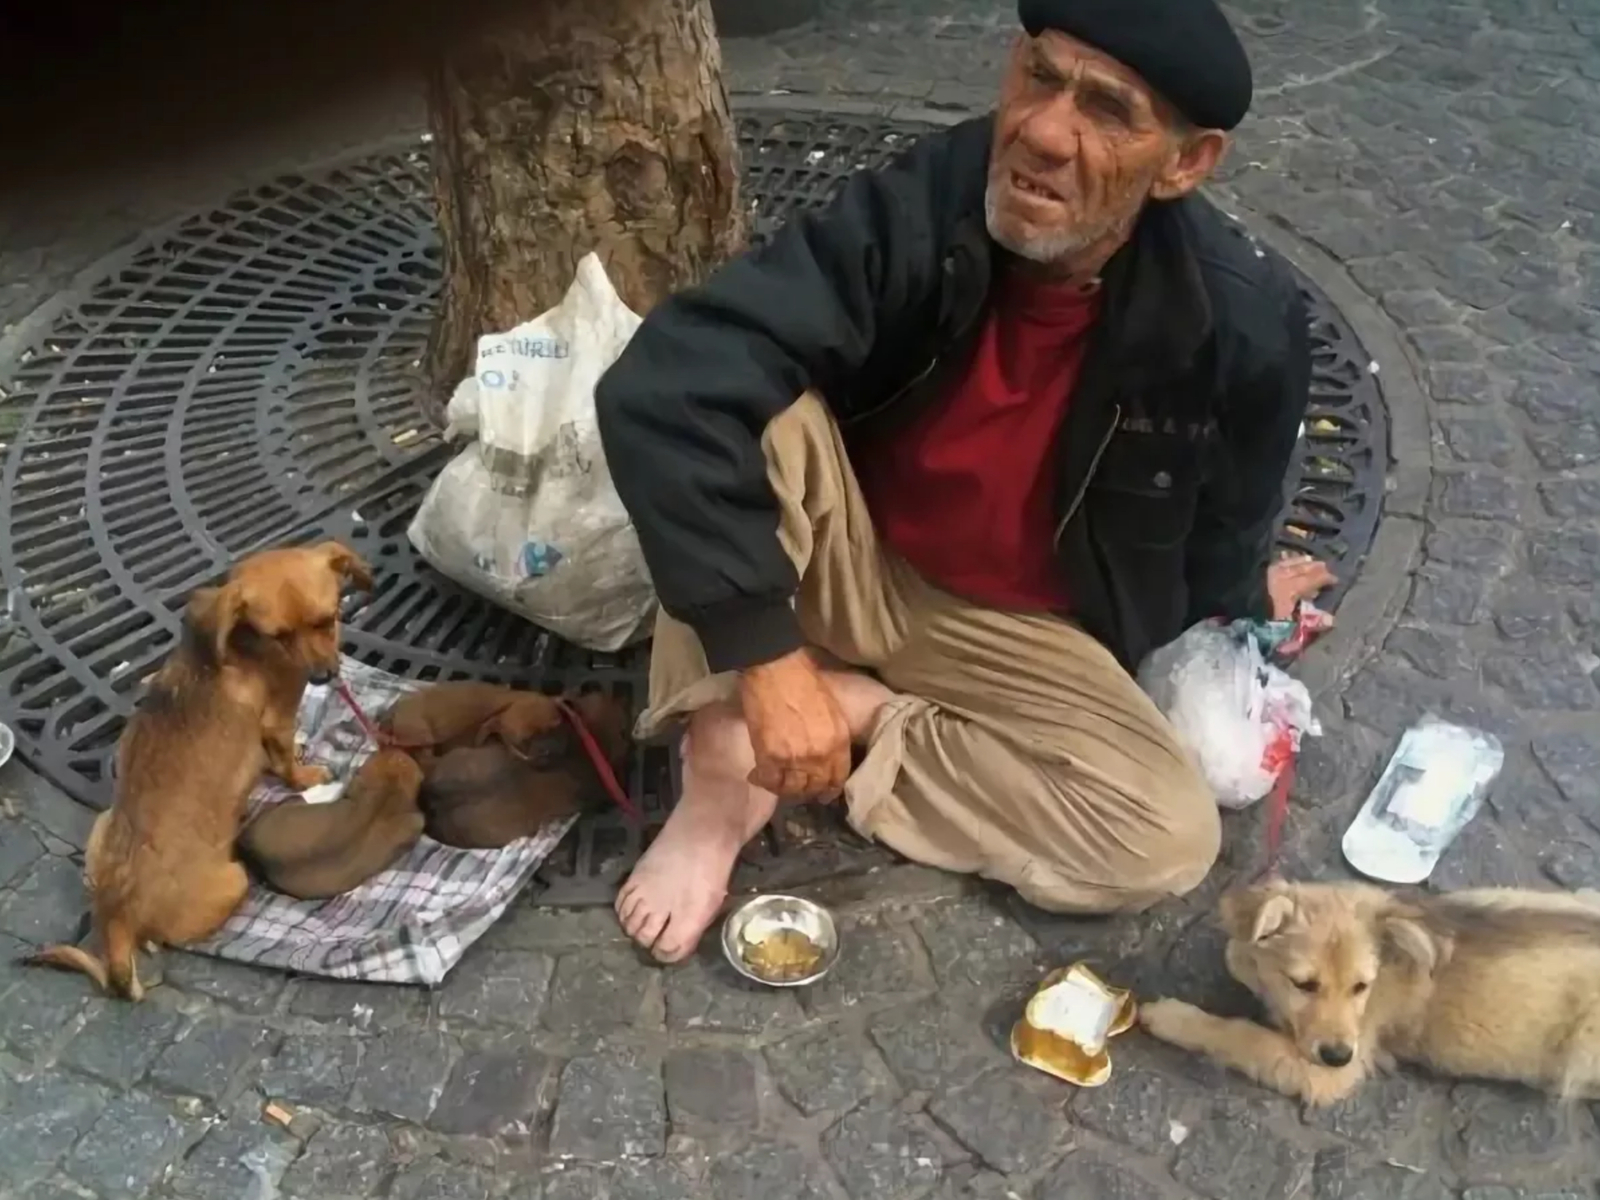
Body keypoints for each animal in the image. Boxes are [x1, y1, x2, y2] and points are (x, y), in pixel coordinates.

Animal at [28, 540, 371, 998]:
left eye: (327, 618)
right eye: (278, 636)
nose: (323, 676)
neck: (243, 642)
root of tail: (118, 913)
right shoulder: (279, 719)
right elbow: (284, 761)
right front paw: (303, 774)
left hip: (102, 827)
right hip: (235, 879)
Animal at [1145, 883, 1600, 1107]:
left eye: (1361, 986)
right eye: (1304, 984)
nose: (1337, 1054)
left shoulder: (1327, 1074)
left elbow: (1243, 1035)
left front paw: (1172, 1018)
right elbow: (1240, 951)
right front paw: (1246, 954)